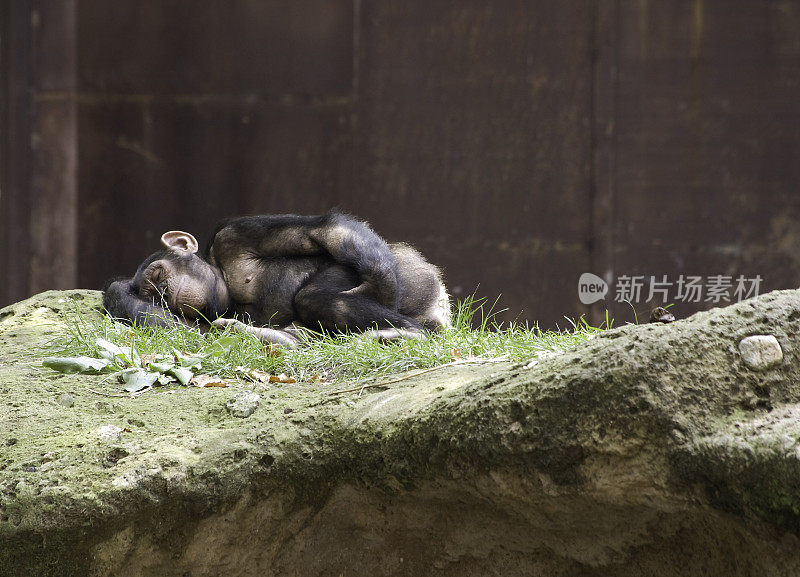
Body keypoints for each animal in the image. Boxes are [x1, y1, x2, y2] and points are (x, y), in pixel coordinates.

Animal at [102, 212, 450, 346]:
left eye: (157, 274)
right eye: (150, 295)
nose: (161, 290)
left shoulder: (233, 235)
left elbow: (321, 231)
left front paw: (383, 289)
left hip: (413, 275)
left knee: (314, 297)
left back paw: (409, 332)